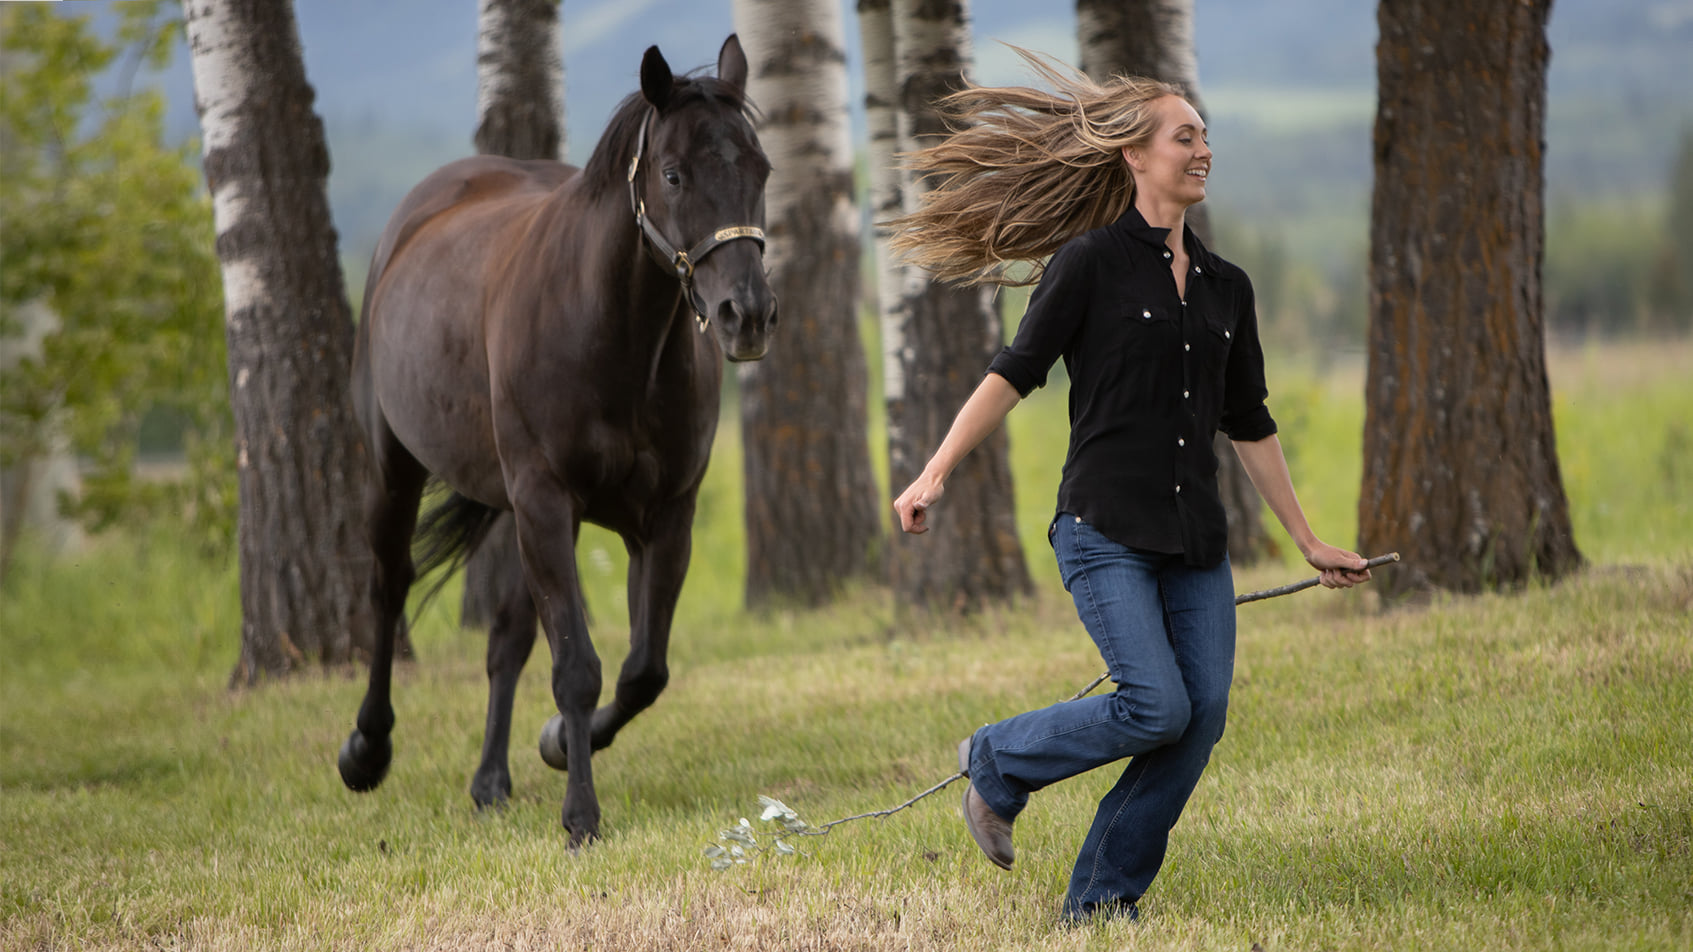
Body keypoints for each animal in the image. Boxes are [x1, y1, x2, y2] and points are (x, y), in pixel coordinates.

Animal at [331, 35, 778, 843]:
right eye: (673, 173)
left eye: (759, 169)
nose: (747, 315)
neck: (608, 338)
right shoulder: (545, 502)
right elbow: (577, 666)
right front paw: (581, 816)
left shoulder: (662, 518)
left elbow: (642, 670)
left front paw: (558, 746)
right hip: (395, 470)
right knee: (388, 588)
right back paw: (366, 750)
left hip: (512, 512)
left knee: (505, 639)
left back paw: (490, 779)